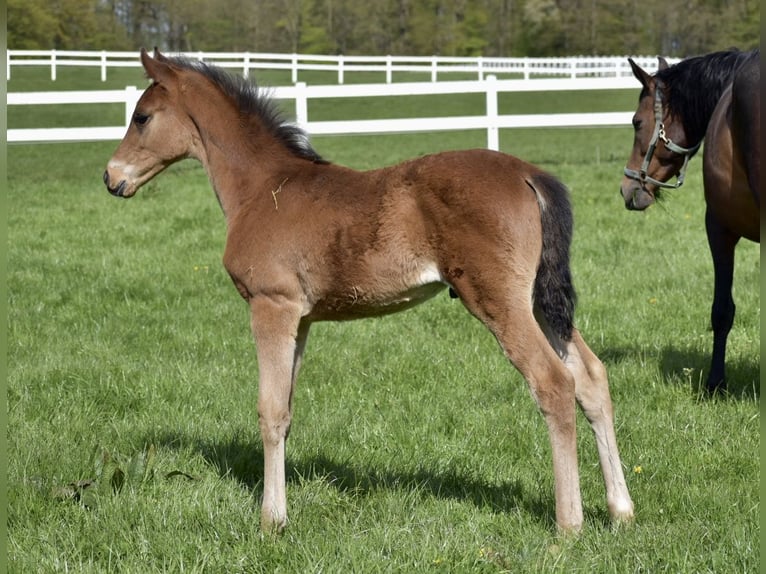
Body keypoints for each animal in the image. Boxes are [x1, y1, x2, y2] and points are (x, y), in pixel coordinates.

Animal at [106, 49, 636, 536]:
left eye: (142, 117)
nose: (111, 177)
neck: (263, 190)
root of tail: (529, 174)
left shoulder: (270, 306)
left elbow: (269, 411)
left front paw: (272, 520)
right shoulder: (301, 319)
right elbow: (287, 410)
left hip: (498, 300)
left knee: (553, 383)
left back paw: (568, 524)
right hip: (540, 303)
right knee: (591, 378)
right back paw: (621, 510)